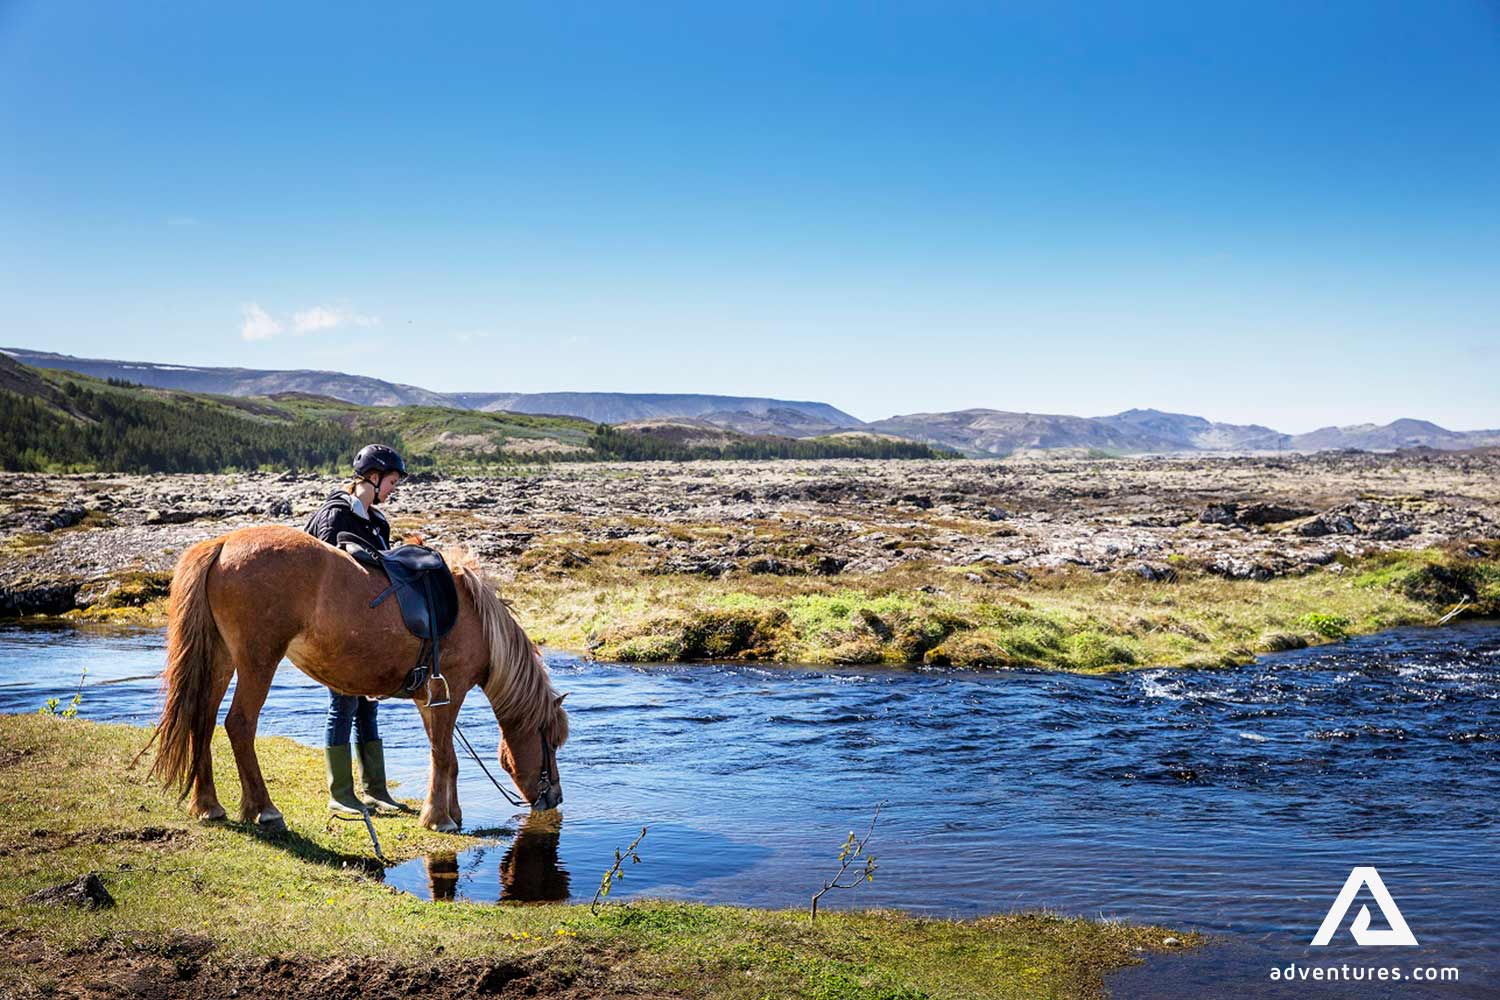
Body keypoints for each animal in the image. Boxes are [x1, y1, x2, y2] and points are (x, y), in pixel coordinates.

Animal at [147, 524, 568, 833]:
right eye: (549, 740)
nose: (555, 798)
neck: (475, 619)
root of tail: (222, 544)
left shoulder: (429, 699)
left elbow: (445, 756)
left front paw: (452, 812)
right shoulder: (450, 692)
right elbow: (444, 755)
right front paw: (440, 818)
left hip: (220, 660)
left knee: (202, 719)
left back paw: (208, 805)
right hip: (257, 661)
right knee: (239, 724)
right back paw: (263, 809)